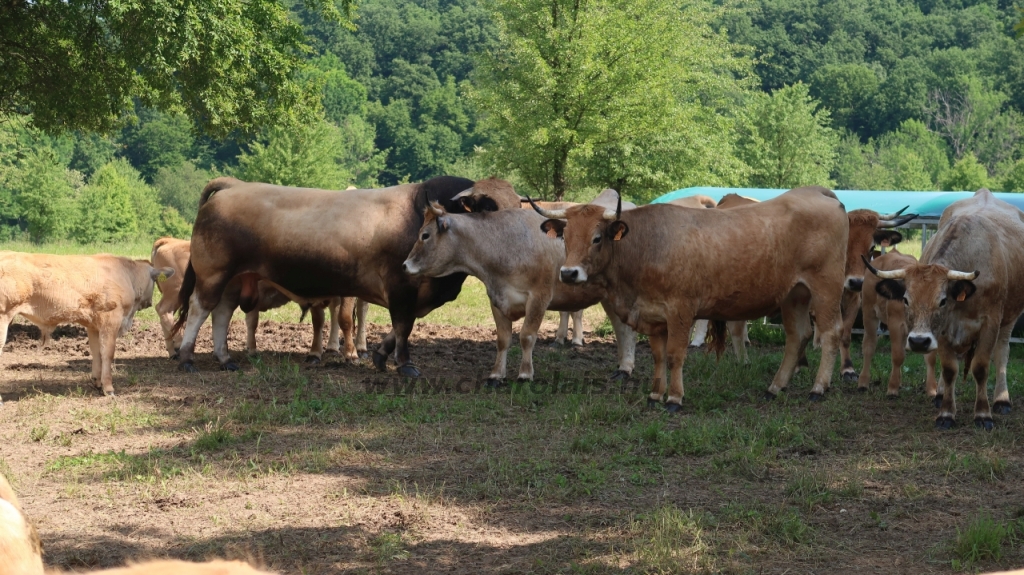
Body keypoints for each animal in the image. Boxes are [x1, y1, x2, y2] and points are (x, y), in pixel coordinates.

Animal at [0, 250, 172, 399]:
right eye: (154, 281)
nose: (149, 303)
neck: (127, 276)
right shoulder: (110, 321)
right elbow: (108, 354)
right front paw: (108, 388)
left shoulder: (93, 325)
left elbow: (97, 353)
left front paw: (97, 382)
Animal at [173, 174, 483, 376]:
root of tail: (233, 186)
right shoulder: (402, 287)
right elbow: (402, 327)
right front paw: (404, 364)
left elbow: (397, 328)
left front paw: (379, 356)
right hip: (213, 273)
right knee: (200, 308)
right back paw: (187, 358)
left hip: (233, 280)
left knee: (221, 313)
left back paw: (225, 359)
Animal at [528, 184, 847, 407]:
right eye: (566, 238)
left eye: (597, 238)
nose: (569, 273)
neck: (647, 245)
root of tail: (815, 191)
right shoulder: (653, 315)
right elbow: (658, 356)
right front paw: (655, 395)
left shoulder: (680, 310)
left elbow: (675, 355)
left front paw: (674, 398)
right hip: (795, 294)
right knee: (797, 336)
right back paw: (775, 388)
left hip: (826, 288)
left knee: (831, 333)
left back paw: (818, 388)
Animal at [856, 248, 937, 396]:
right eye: (907, 297)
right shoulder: (895, 325)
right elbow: (898, 356)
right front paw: (892, 389)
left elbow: (931, 358)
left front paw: (932, 390)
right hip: (869, 313)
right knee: (869, 345)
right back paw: (863, 382)